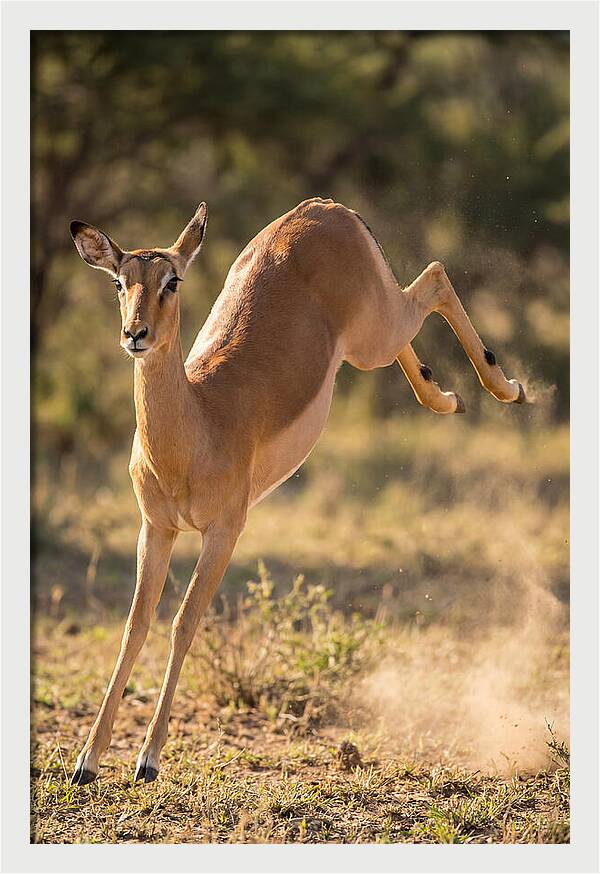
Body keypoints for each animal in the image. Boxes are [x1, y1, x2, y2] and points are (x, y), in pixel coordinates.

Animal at [69, 197, 527, 785]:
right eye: (119, 281)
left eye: (171, 280)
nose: (135, 334)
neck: (197, 424)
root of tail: (325, 207)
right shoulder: (157, 528)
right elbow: (134, 626)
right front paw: (87, 759)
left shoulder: (224, 532)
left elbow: (183, 622)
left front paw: (147, 759)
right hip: (369, 340)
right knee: (419, 314)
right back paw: (447, 397)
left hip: (374, 333)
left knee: (435, 276)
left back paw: (507, 388)